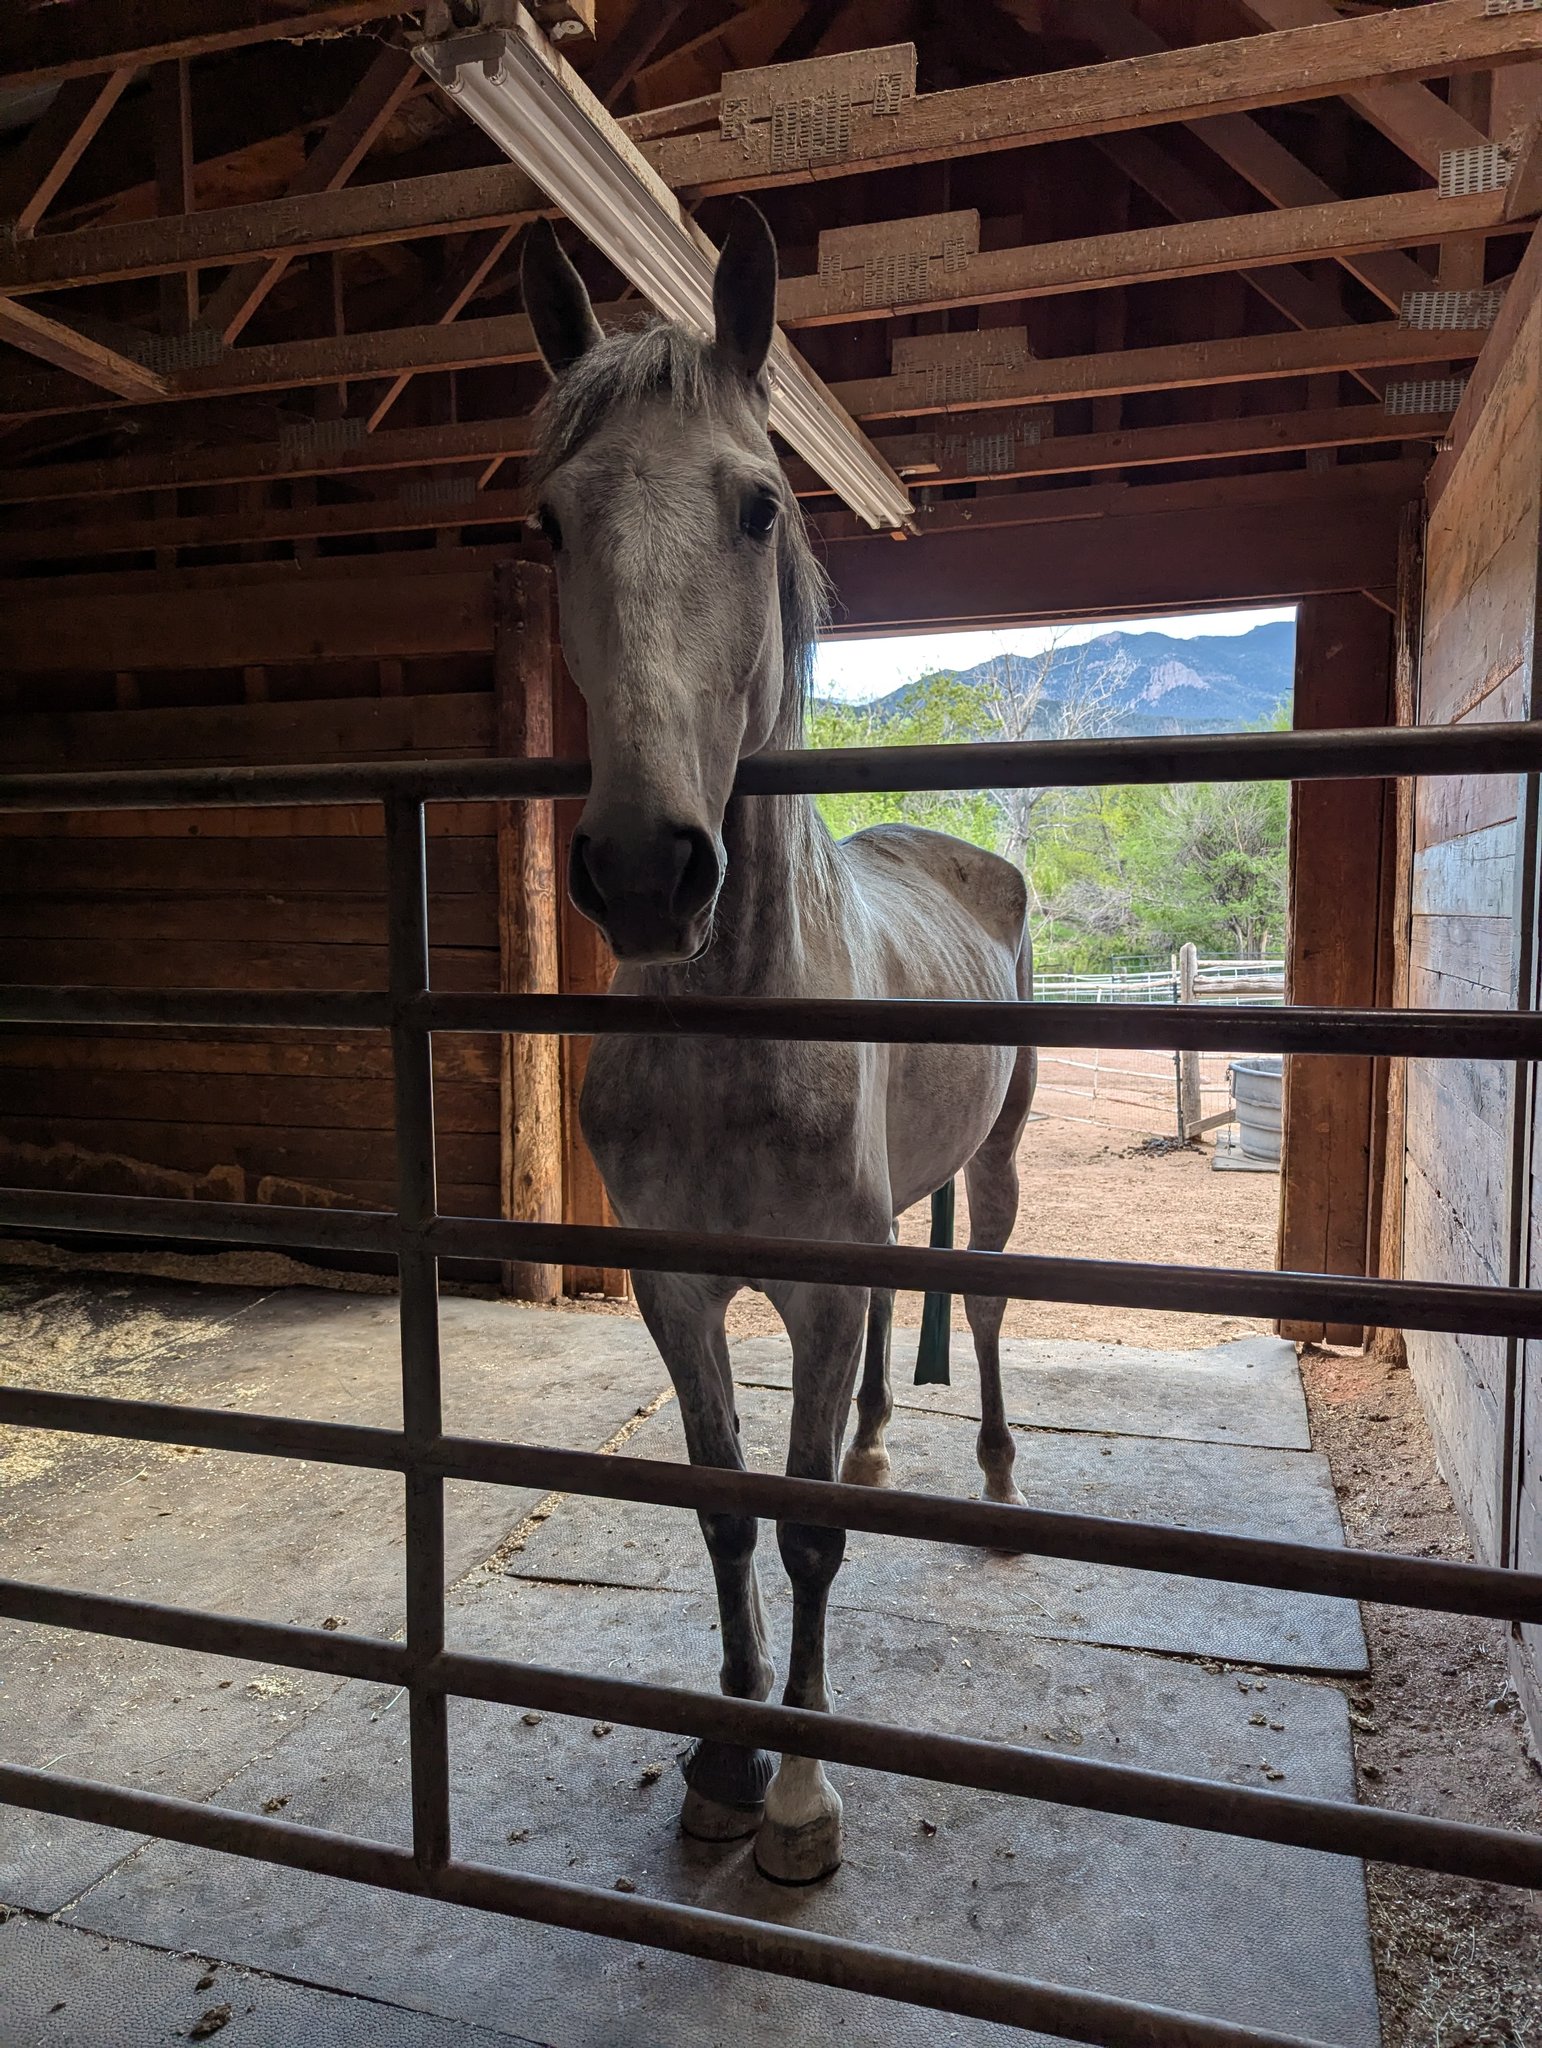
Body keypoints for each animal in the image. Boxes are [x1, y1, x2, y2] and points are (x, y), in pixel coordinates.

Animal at [520, 199, 1036, 1885]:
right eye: (550, 527)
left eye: (754, 507)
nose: (643, 871)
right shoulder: (680, 1289)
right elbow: (731, 1510)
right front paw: (728, 1753)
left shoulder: (813, 1283)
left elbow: (808, 1533)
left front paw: (802, 1791)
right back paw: (878, 1442)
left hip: (996, 1171)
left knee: (981, 1301)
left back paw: (995, 1481)